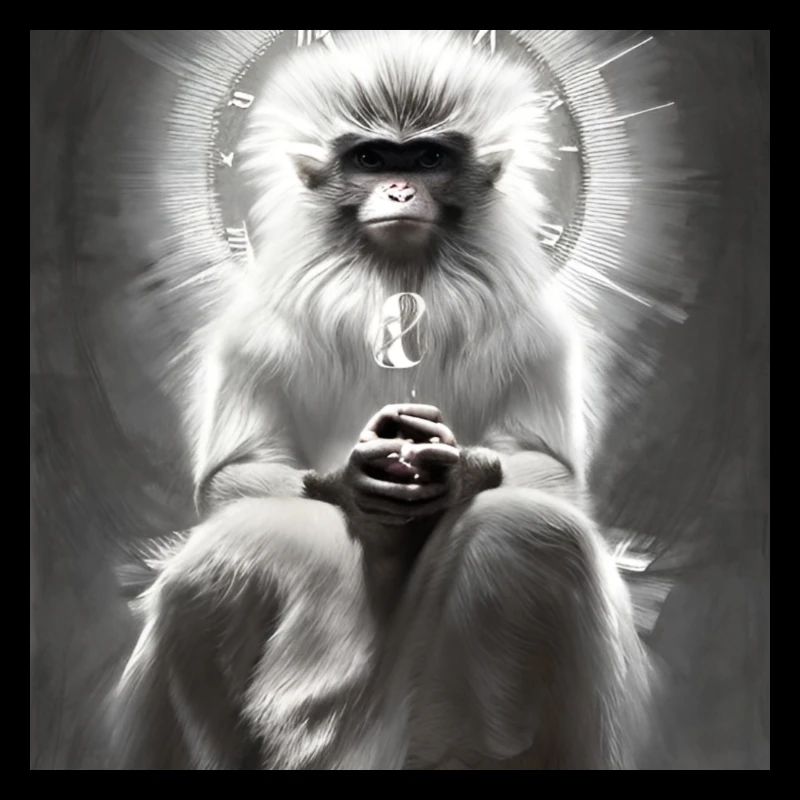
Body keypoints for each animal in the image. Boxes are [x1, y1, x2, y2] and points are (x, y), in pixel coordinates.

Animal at [112, 30, 652, 770]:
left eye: (427, 158)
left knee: (533, 533)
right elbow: (232, 477)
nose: (398, 188)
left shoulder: (539, 327)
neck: (398, 287)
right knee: (219, 567)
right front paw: (351, 479)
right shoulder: (252, 326)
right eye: (370, 159)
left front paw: (461, 472)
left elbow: (554, 474)